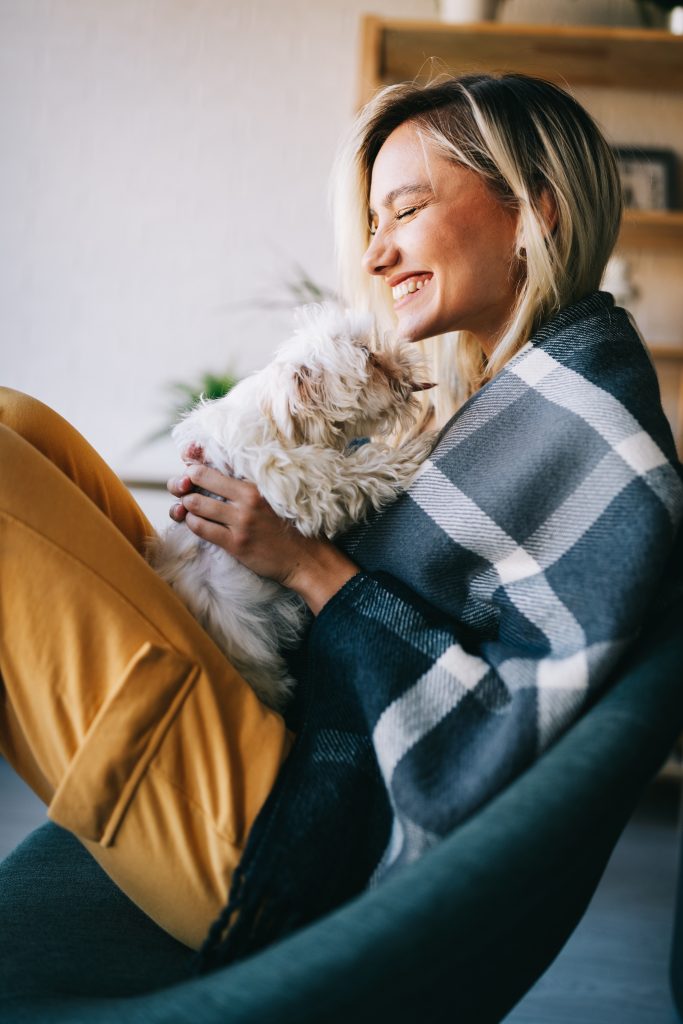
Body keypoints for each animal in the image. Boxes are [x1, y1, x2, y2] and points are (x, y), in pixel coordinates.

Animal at [147, 299, 436, 708]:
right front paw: (409, 452)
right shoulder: (291, 477)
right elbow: (350, 472)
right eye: (368, 355)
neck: (278, 416)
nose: (408, 362)